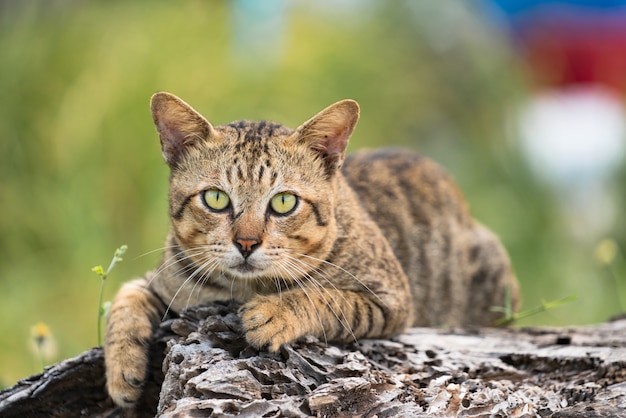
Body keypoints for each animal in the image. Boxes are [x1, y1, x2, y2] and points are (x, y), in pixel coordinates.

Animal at [103, 92, 516, 408]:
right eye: (216, 198)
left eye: (284, 202)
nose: (247, 242)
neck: (244, 288)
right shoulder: (164, 278)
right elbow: (125, 299)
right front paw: (121, 368)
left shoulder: (392, 299)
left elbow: (324, 297)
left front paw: (275, 312)